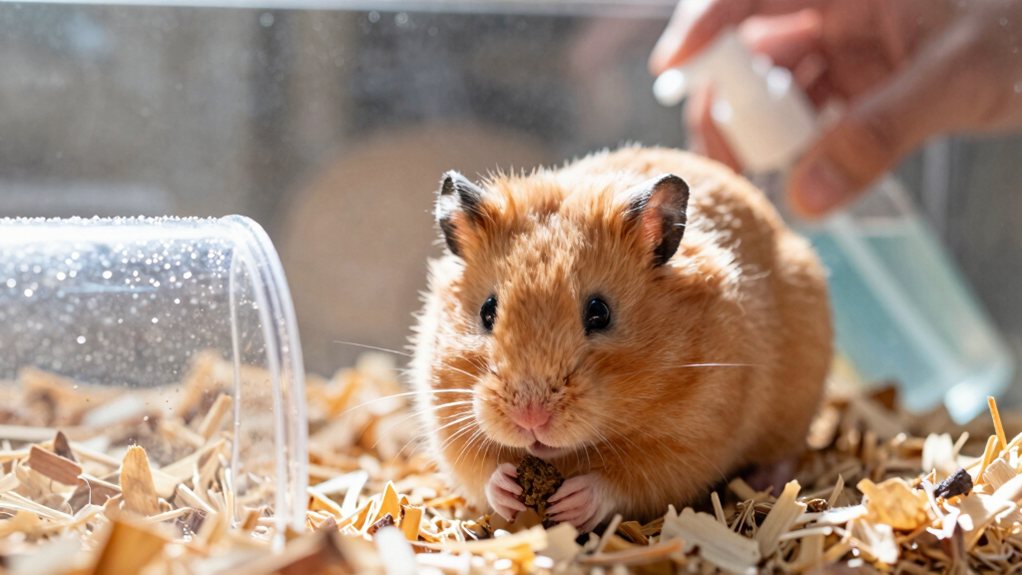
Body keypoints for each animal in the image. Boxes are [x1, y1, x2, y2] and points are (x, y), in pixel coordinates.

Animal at [411, 146, 832, 531]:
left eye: (600, 312)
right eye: (487, 311)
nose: (530, 418)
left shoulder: (695, 439)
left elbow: (624, 482)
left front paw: (571, 501)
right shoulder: (447, 421)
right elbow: (481, 473)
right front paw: (509, 490)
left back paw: (769, 483)